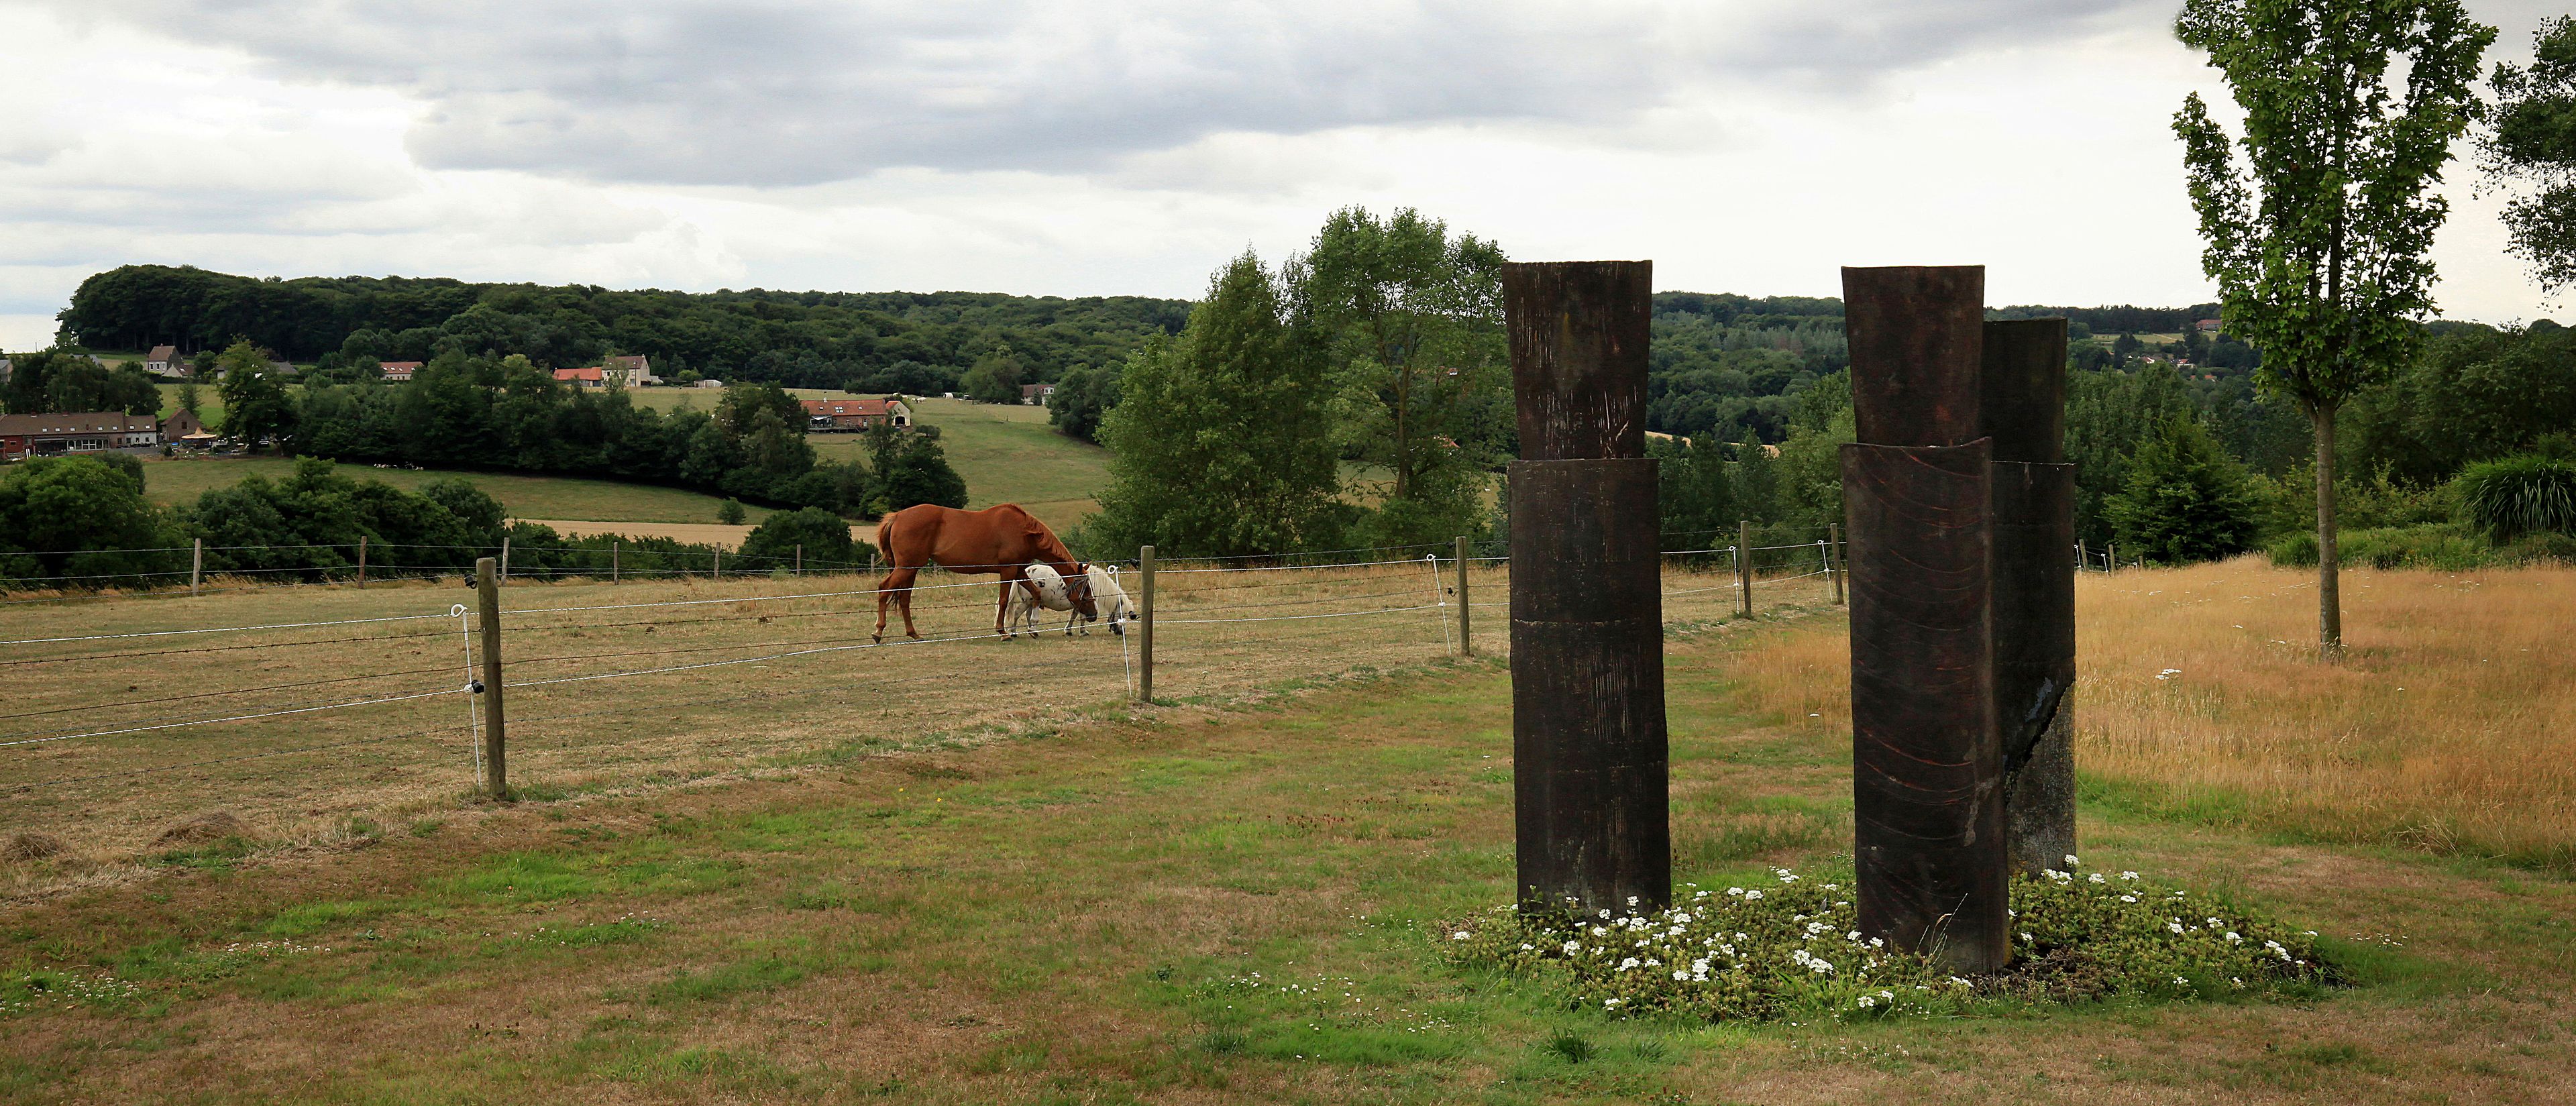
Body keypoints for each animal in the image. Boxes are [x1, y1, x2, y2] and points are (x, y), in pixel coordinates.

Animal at [873, 503, 1094, 642]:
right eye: (1086, 587)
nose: (1093, 614)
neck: (1024, 532)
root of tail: (897, 516)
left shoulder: (1019, 570)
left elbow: (1036, 594)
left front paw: (1033, 628)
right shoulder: (1008, 571)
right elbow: (1003, 601)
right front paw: (1003, 632)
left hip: (911, 570)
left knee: (904, 599)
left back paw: (914, 634)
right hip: (905, 568)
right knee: (884, 589)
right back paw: (878, 632)